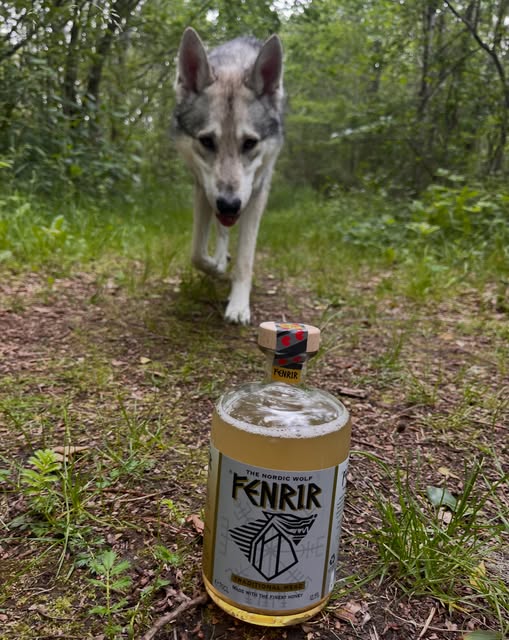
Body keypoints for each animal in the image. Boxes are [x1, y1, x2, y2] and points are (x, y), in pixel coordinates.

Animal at [173, 27, 284, 325]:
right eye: (207, 141)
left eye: (250, 143)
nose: (230, 204)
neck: (233, 64)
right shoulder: (203, 189)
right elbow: (197, 253)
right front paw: (217, 266)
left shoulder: (256, 193)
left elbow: (246, 258)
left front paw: (238, 306)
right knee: (220, 233)